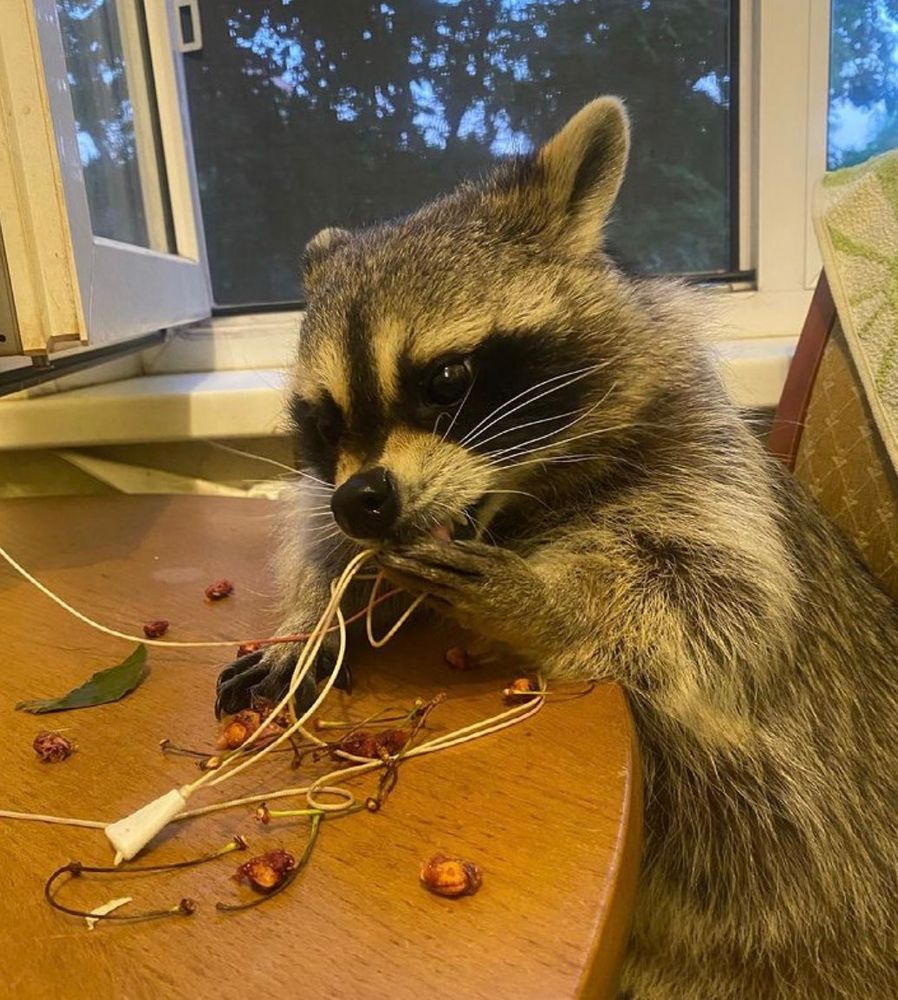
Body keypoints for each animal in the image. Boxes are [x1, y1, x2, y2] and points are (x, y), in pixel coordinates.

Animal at [215, 99, 898, 999]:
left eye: (446, 379)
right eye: (326, 420)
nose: (364, 500)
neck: (518, 508)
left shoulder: (705, 468)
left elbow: (716, 611)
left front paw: (546, 605)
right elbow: (322, 539)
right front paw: (309, 621)